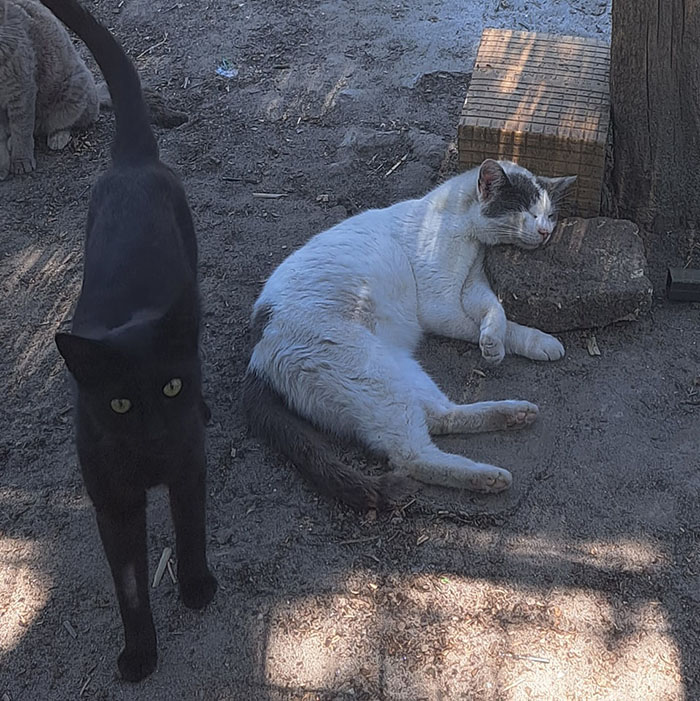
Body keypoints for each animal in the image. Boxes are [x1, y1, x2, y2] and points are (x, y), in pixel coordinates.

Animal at [42, 0, 217, 680]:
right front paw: (139, 652)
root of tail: (130, 161)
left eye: (169, 386)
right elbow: (129, 584)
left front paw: (196, 588)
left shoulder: (189, 465)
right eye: (119, 403)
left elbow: (190, 529)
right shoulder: (112, 503)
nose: (156, 432)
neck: (148, 467)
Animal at [243, 159, 576, 508]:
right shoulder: (441, 306)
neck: (466, 231)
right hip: (372, 375)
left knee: (440, 415)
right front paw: (509, 343)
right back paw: (487, 476)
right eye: (527, 211)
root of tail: (256, 358)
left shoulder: (471, 285)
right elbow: (495, 324)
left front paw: (512, 341)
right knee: (411, 456)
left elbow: (495, 310)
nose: (545, 232)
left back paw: (512, 414)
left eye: (550, 215)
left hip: (398, 374)